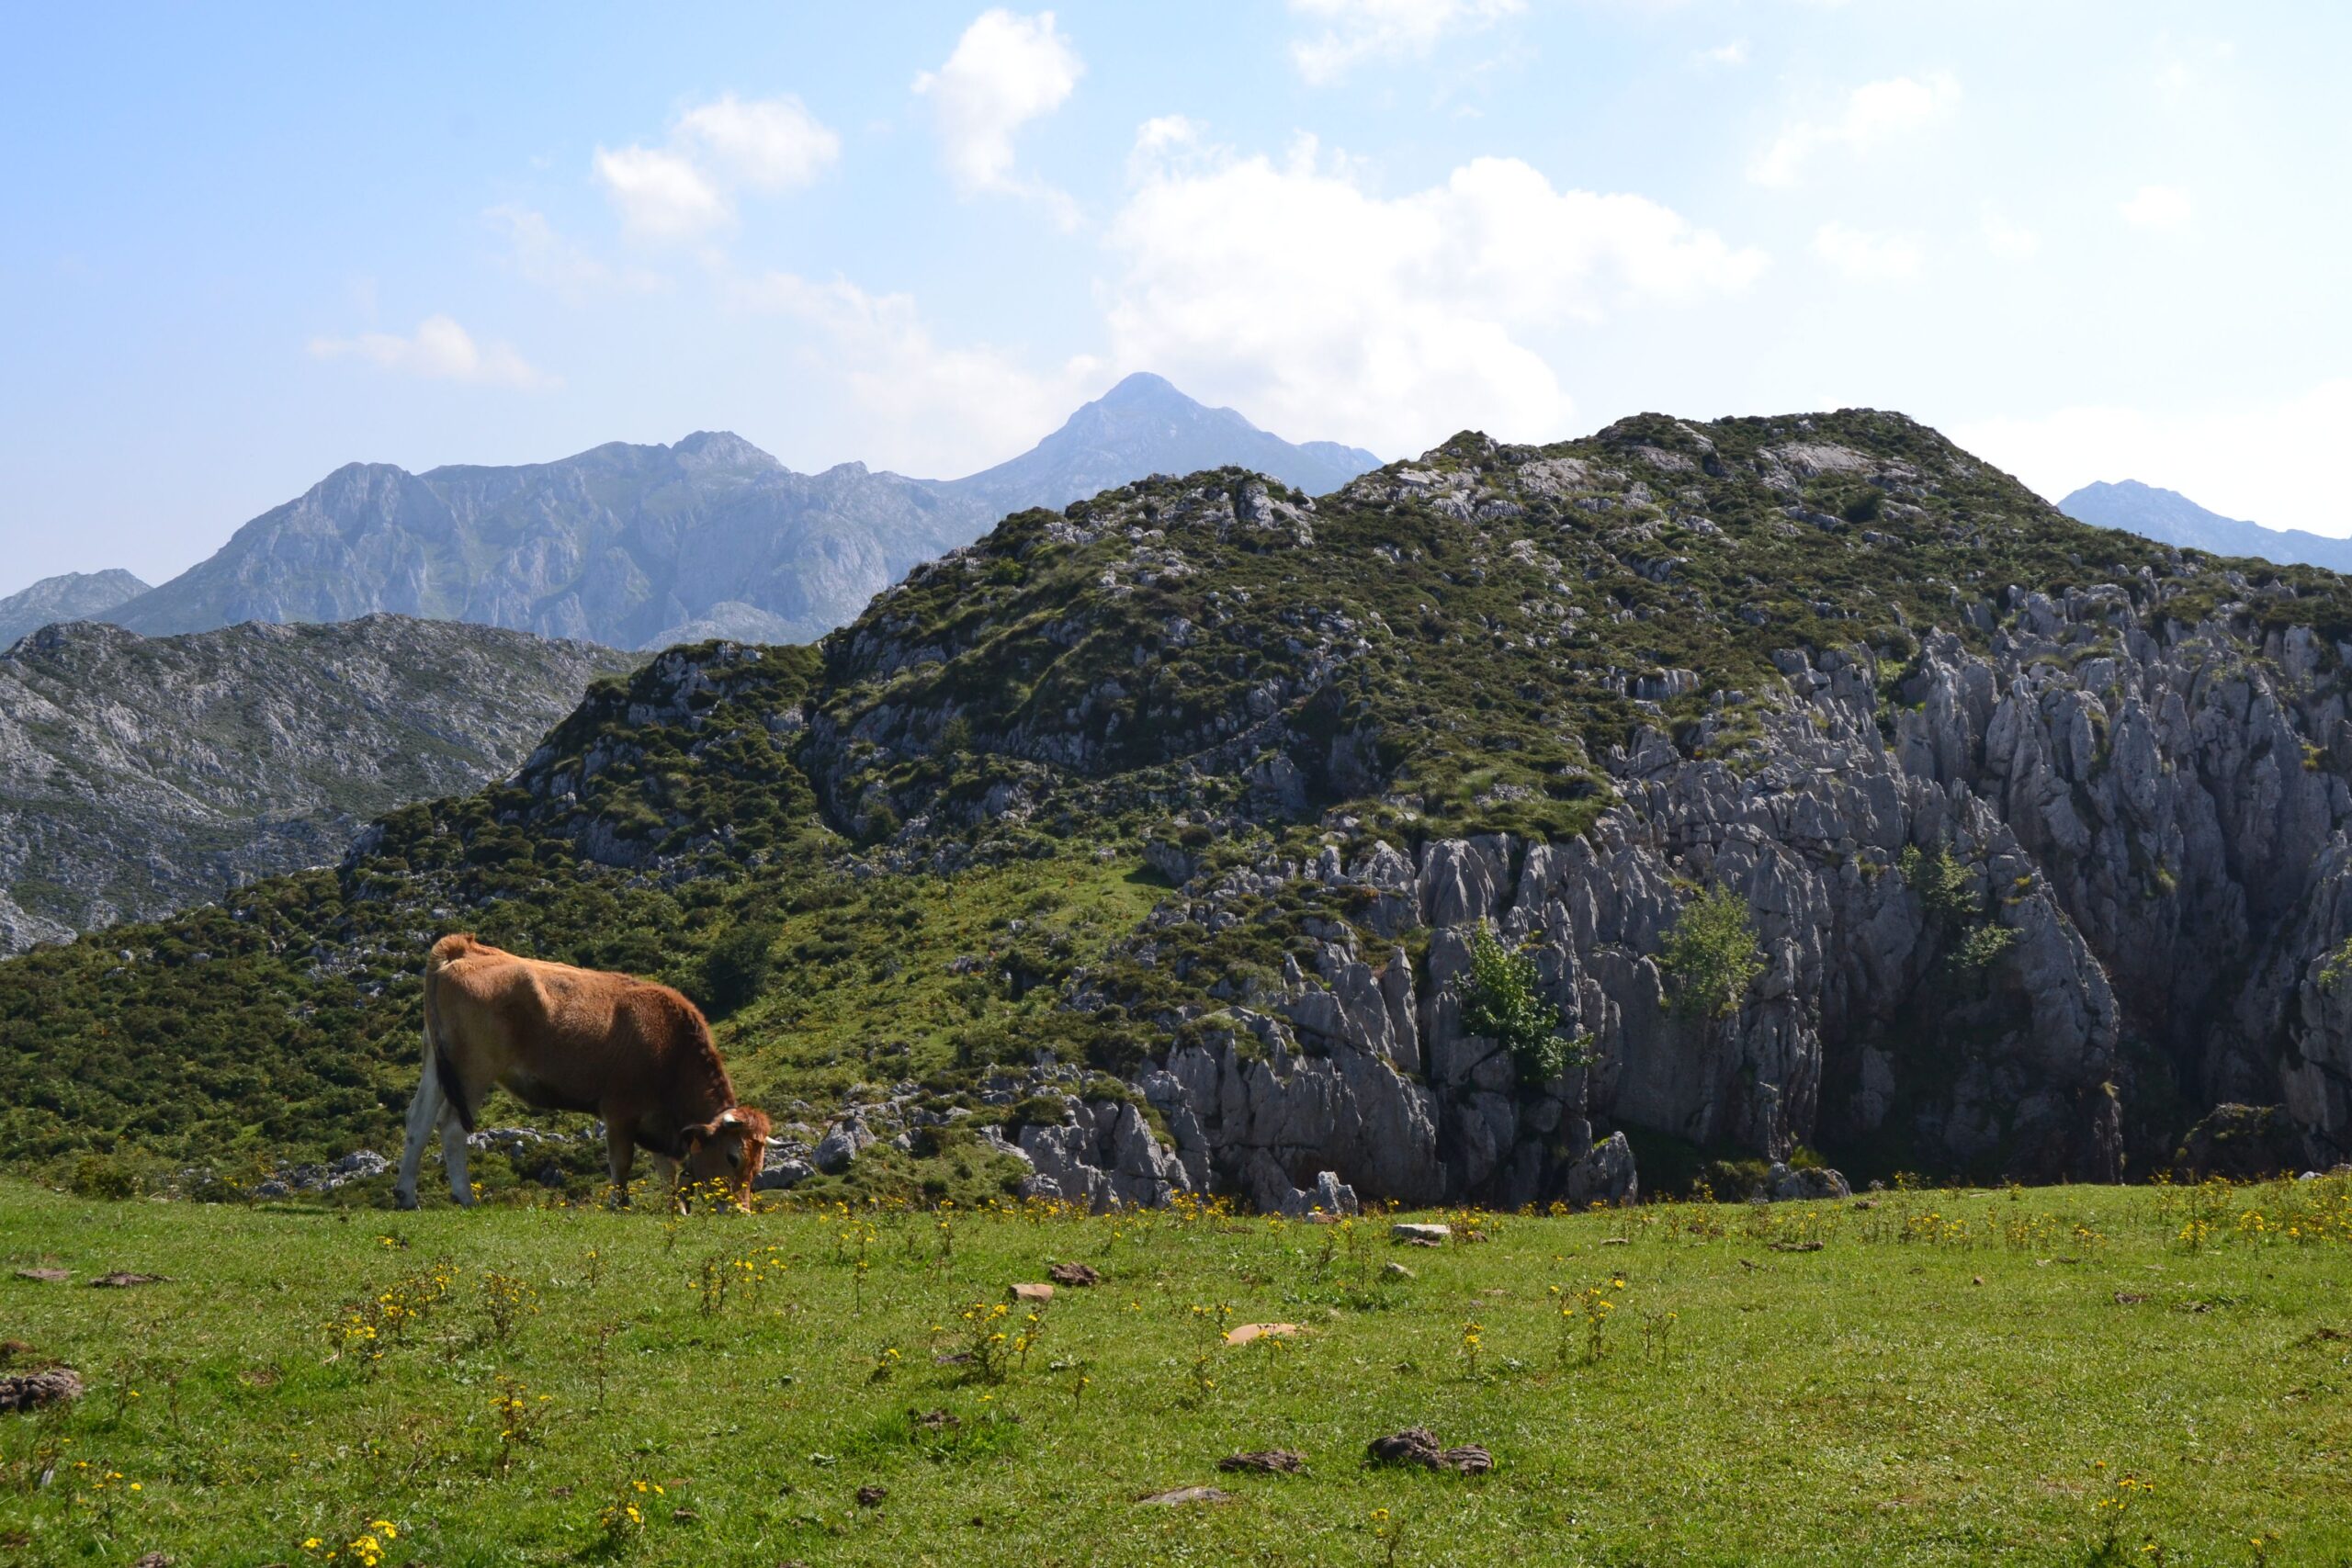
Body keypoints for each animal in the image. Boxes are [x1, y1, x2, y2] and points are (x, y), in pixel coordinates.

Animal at [394, 934, 771, 1211]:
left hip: (436, 1062)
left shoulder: (657, 1123)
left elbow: (666, 1169)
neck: (671, 1046)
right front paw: (619, 1205)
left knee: (419, 1120)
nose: (741, 1210)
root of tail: (464, 947)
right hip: (473, 1070)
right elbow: (622, 1163)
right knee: (452, 1126)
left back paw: (406, 1196)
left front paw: (673, 1209)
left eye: (758, 1166)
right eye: (733, 1157)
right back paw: (465, 1197)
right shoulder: (620, 1112)